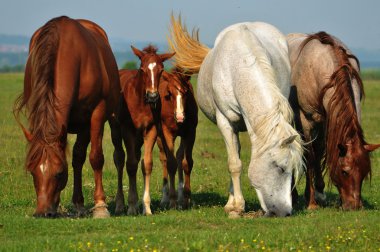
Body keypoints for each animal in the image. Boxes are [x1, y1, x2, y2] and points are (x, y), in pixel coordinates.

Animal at [13, 15, 121, 218]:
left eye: (59, 173)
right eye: (32, 172)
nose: (42, 212)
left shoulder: (96, 113)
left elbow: (96, 158)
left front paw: (101, 207)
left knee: (80, 157)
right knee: (78, 157)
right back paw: (78, 204)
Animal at [116, 44, 174, 215]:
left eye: (161, 70)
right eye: (142, 69)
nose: (153, 96)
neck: (140, 103)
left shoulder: (151, 129)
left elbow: (146, 164)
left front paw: (146, 207)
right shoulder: (127, 129)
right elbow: (130, 164)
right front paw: (131, 206)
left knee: (136, 157)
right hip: (116, 130)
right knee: (119, 159)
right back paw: (120, 204)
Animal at [157, 67, 199, 209]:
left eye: (186, 92)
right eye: (169, 93)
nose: (180, 117)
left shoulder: (190, 133)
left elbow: (187, 162)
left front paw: (186, 199)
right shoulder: (168, 133)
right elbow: (171, 163)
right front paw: (172, 201)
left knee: (179, 155)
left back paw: (180, 197)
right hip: (159, 137)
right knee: (164, 159)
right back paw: (165, 198)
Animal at [168, 15, 304, 217]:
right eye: (279, 167)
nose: (285, 212)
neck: (240, 64)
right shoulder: (225, 122)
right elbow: (234, 164)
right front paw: (237, 206)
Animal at [288, 32, 380, 210]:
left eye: (364, 172)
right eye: (344, 171)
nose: (354, 207)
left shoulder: (326, 121)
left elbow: (318, 153)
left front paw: (320, 194)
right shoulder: (305, 120)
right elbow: (310, 157)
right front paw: (311, 202)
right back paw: (293, 195)